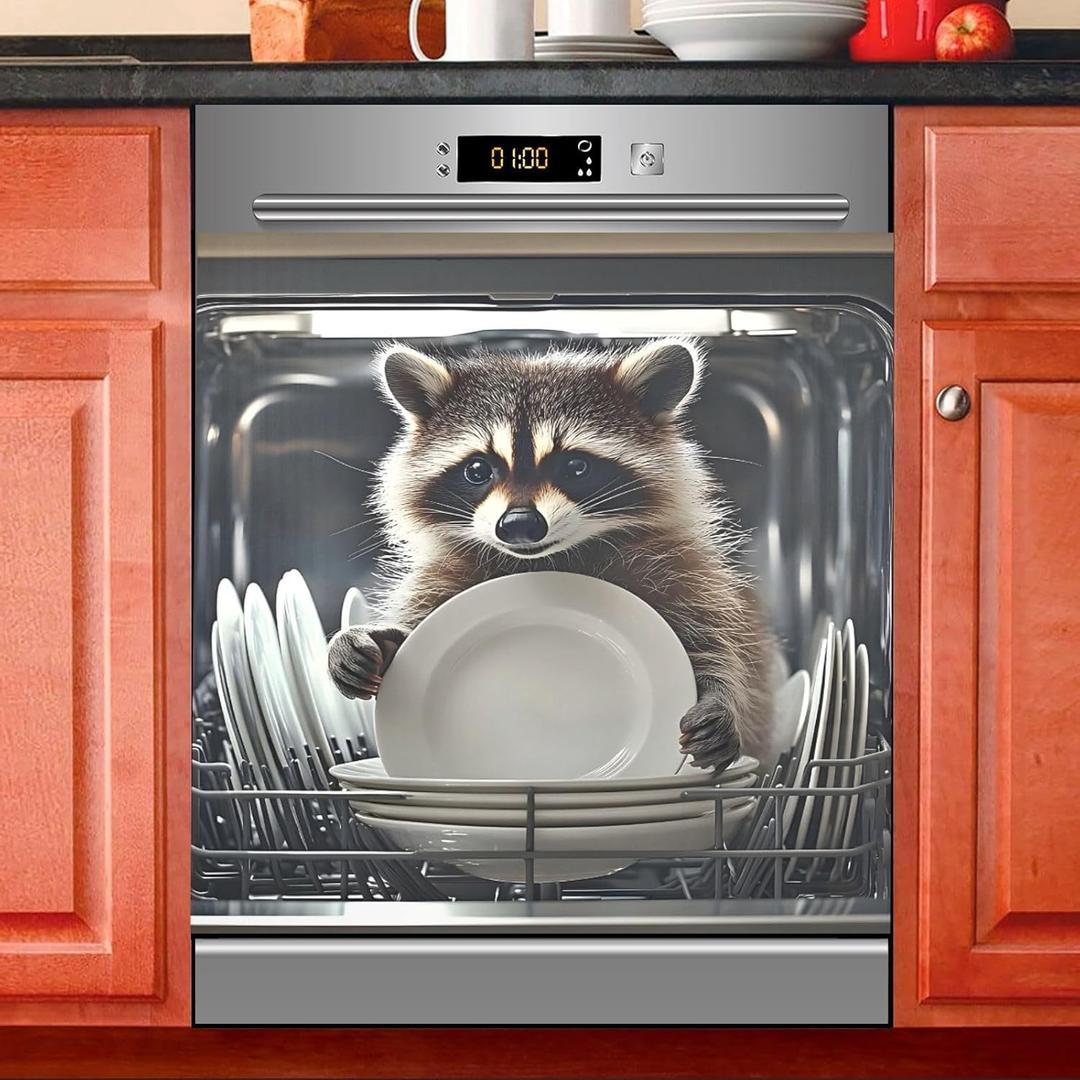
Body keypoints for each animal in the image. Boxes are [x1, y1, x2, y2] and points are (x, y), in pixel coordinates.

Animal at [328, 337, 775, 773]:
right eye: (478, 470)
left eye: (575, 466)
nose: (519, 524)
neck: (545, 559)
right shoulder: (441, 580)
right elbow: (416, 622)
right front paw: (377, 637)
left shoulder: (684, 574)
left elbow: (715, 645)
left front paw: (721, 698)